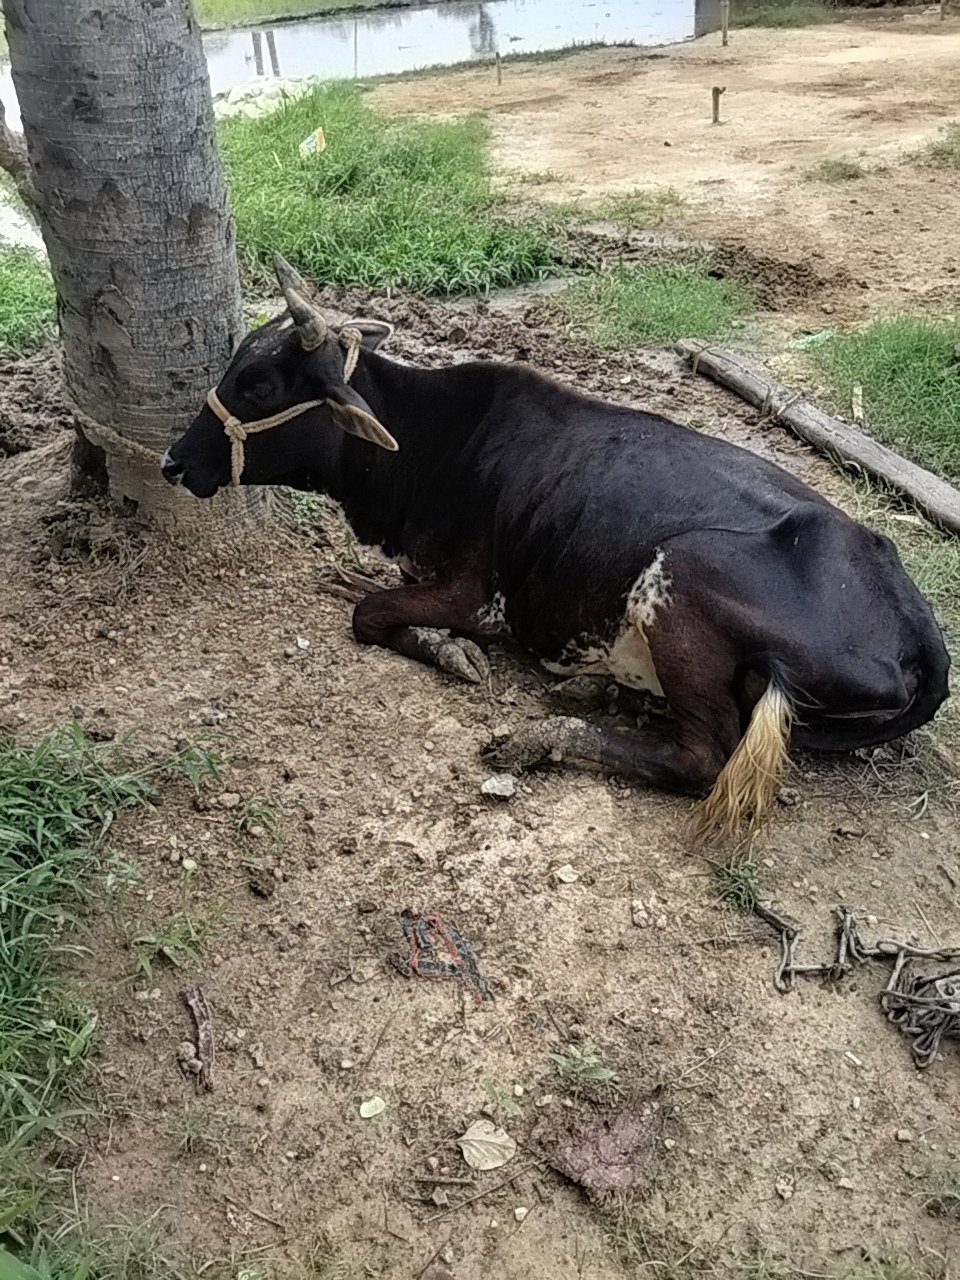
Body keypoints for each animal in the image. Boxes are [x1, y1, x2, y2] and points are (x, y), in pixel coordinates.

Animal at [161, 255, 951, 843]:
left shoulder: (474, 595)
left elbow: (374, 616)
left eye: (258, 384)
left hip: (684, 578)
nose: (173, 462)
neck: (426, 447)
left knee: (701, 757)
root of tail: (919, 627)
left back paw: (544, 736)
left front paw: (449, 651)